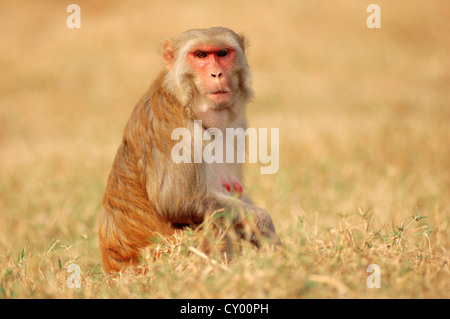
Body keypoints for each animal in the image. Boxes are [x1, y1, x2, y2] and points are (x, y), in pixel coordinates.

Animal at [99, 26, 278, 274]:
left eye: (222, 53)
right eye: (201, 55)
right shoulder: (174, 124)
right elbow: (176, 199)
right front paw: (264, 225)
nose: (216, 74)